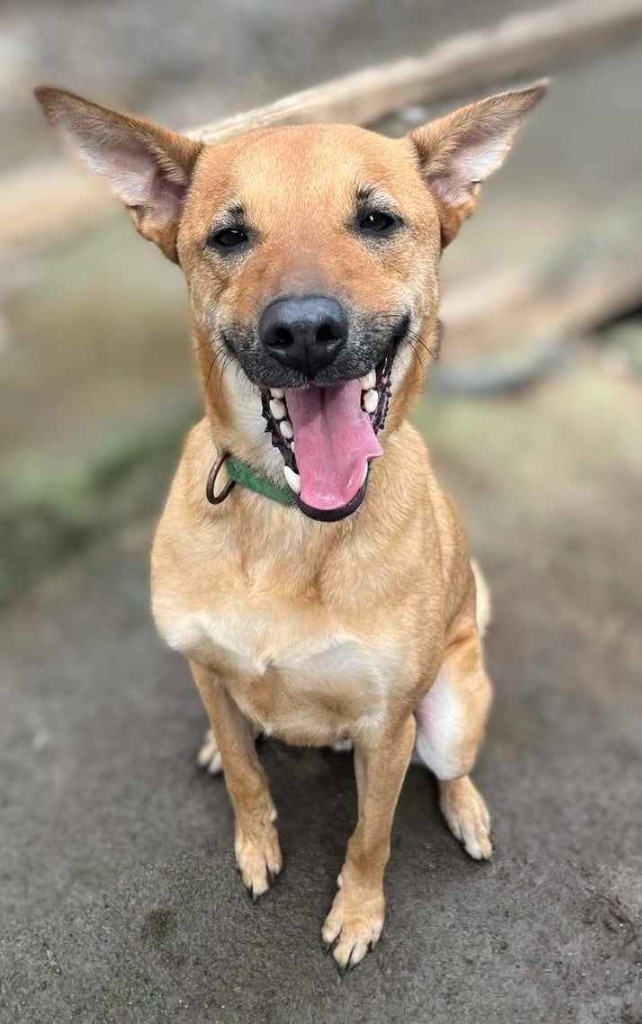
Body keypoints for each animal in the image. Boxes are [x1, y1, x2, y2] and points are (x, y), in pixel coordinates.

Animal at [36, 77, 548, 966]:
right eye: (229, 235)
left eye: (377, 220)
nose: (305, 330)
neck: (292, 525)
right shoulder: (206, 668)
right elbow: (248, 777)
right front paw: (255, 842)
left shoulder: (387, 728)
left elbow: (372, 835)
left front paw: (358, 912)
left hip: (447, 712)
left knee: (450, 765)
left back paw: (467, 807)